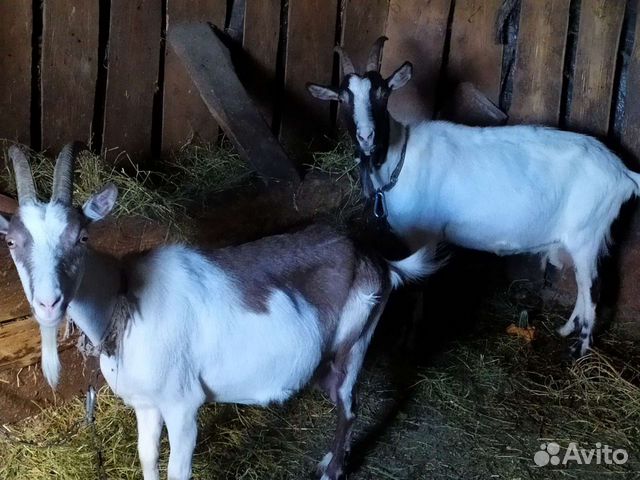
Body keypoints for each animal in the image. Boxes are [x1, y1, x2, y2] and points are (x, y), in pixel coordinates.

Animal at [0, 144, 438, 480]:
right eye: (11, 243)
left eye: (81, 237)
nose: (48, 304)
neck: (125, 302)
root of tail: (379, 261)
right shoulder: (145, 403)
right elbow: (147, 460)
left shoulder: (182, 404)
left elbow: (177, 471)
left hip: (354, 342)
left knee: (348, 406)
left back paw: (331, 471)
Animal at [306, 36, 640, 356]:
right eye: (343, 98)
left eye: (382, 93)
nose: (367, 137)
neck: (399, 158)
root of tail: (623, 172)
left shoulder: (423, 236)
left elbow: (420, 287)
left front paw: (409, 342)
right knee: (584, 288)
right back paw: (566, 330)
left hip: (587, 234)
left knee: (594, 288)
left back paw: (579, 349)